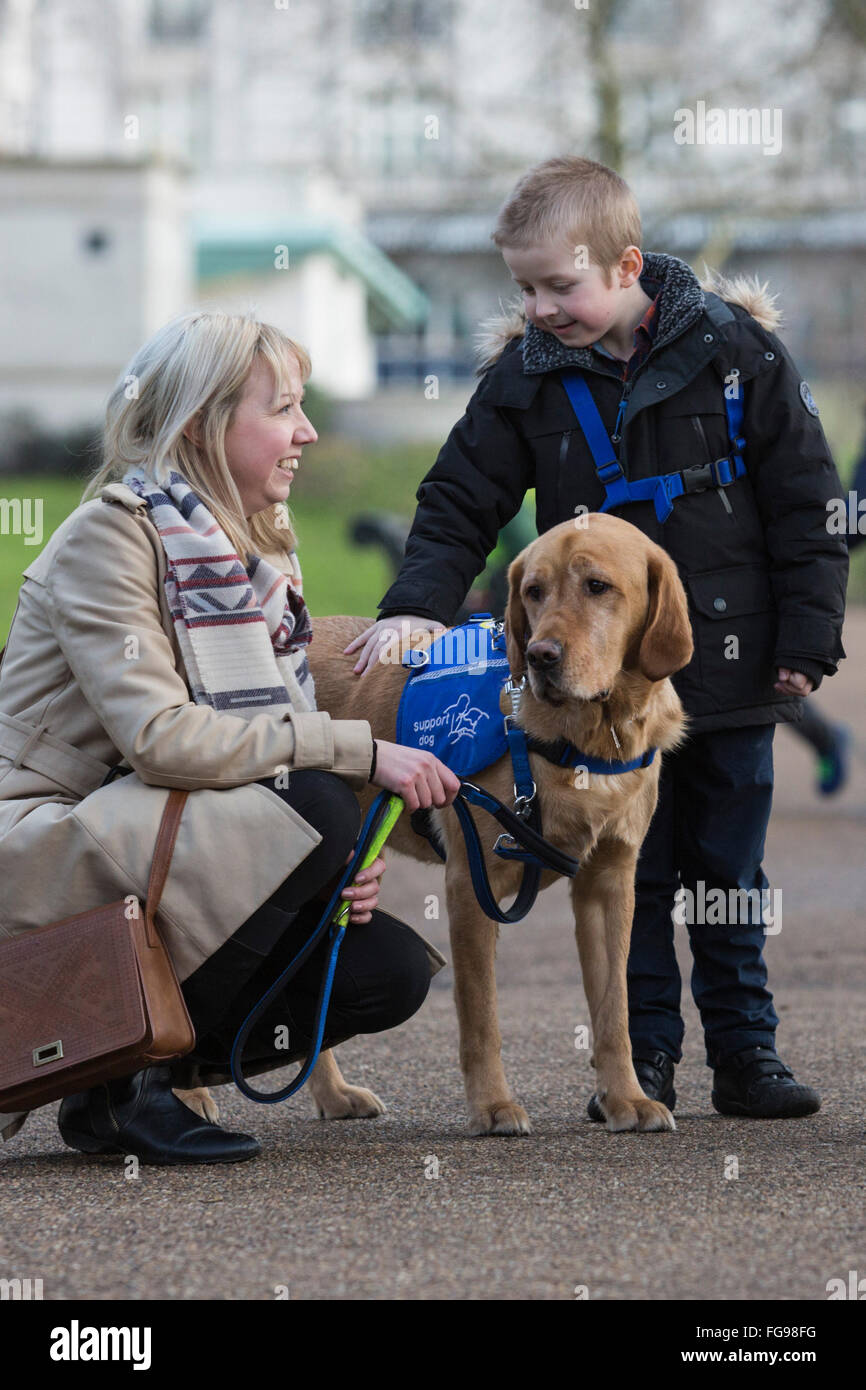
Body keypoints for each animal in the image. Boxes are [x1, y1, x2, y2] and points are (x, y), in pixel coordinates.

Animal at [301, 517, 695, 1134]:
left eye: (598, 586)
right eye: (533, 591)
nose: (540, 655)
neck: (588, 736)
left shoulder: (609, 883)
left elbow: (614, 1012)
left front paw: (625, 1099)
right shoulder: (471, 884)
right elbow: (481, 1017)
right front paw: (492, 1106)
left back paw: (333, 1094)